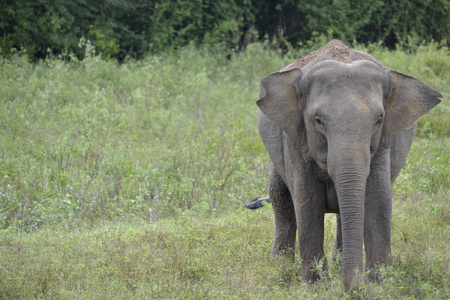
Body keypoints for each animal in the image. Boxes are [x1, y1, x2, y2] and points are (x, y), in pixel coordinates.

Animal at [255, 40, 442, 290]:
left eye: (379, 120)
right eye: (318, 121)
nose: (355, 288)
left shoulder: (382, 144)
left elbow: (378, 198)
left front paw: (379, 284)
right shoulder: (295, 139)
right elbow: (307, 199)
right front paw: (316, 287)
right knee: (280, 195)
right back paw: (280, 267)